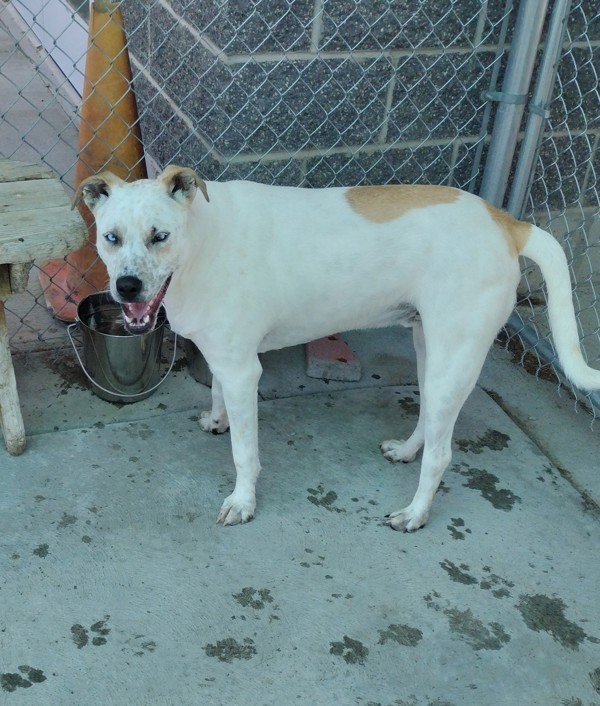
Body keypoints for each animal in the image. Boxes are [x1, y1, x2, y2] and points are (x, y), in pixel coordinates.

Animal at [74, 165, 600, 528]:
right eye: (111, 237)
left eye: (159, 236)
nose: (126, 287)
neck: (200, 241)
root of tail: (507, 222)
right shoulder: (225, 359)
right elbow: (218, 395)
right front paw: (217, 421)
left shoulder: (244, 371)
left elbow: (245, 453)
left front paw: (243, 502)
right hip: (430, 351)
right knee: (430, 421)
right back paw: (406, 451)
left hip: (455, 357)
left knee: (443, 454)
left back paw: (414, 513)